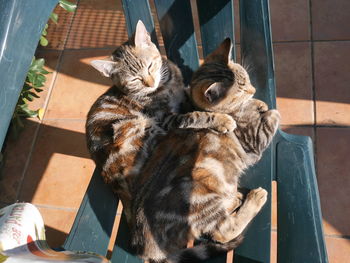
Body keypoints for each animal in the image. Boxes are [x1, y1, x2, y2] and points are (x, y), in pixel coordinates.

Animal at [86, 21, 237, 223]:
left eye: (150, 66)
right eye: (134, 80)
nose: (150, 83)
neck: (166, 86)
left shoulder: (181, 95)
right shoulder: (166, 118)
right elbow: (196, 116)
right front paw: (221, 119)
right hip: (142, 129)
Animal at [130, 38, 280, 262]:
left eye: (247, 79)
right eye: (240, 91)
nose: (253, 90)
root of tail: (144, 246)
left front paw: (259, 103)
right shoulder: (254, 140)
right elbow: (272, 117)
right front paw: (267, 108)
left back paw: (235, 198)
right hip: (203, 191)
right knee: (222, 231)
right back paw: (254, 198)